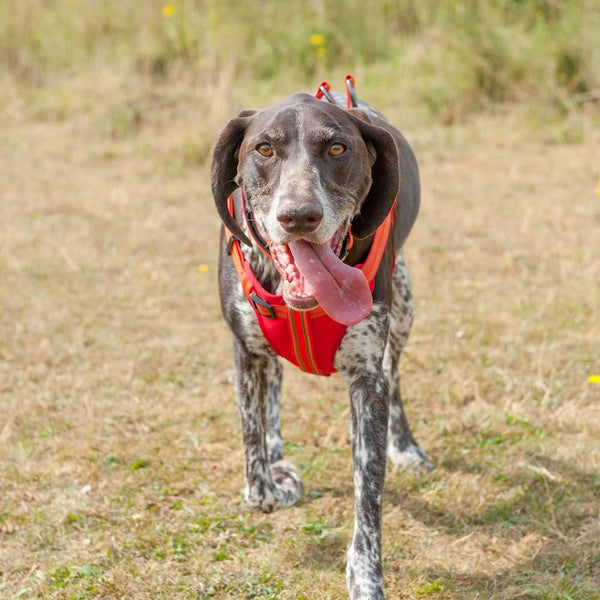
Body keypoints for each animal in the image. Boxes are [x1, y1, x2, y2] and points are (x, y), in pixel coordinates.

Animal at [211, 84, 432, 600]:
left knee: (396, 379)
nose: (298, 216)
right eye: (263, 149)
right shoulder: (244, 353)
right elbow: (256, 480)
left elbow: (368, 494)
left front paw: (366, 579)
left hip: (405, 309)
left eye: (336, 148)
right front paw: (280, 479)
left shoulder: (367, 380)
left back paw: (405, 445)